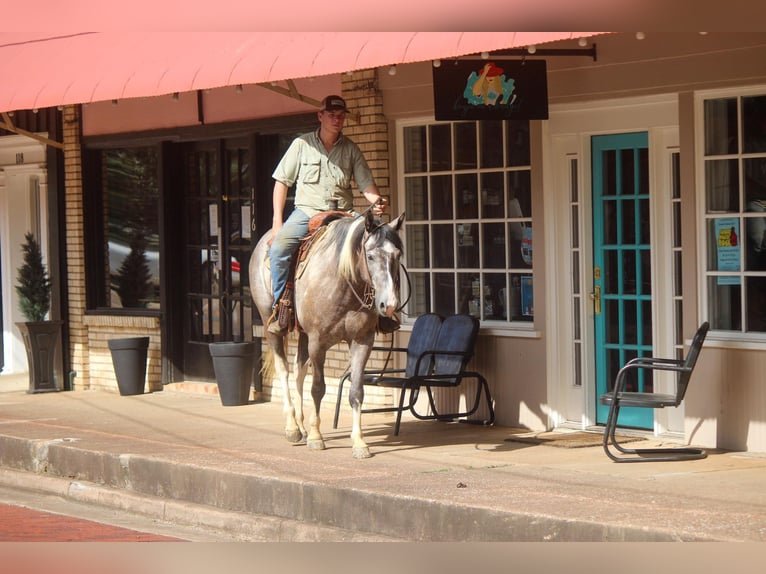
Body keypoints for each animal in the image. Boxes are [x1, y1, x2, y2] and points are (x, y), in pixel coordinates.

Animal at [252, 212, 408, 460]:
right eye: (370, 256)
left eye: (397, 255)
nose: (389, 304)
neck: (344, 284)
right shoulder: (318, 342)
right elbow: (318, 388)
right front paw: (317, 437)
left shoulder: (362, 341)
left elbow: (356, 391)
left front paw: (359, 442)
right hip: (271, 324)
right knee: (283, 370)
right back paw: (293, 428)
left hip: (303, 334)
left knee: (298, 370)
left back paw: (302, 427)